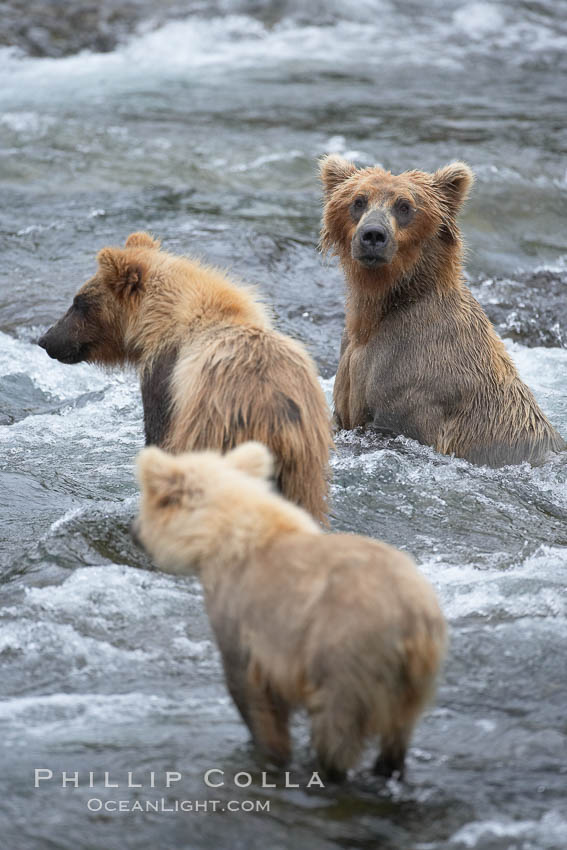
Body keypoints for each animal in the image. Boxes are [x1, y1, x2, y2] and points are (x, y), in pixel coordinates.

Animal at [38, 234, 332, 524]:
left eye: (79, 302)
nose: (46, 339)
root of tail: (274, 417)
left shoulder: (166, 379)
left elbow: (157, 434)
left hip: (216, 429)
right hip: (304, 463)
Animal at [133, 440, 448, 780]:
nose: (134, 532)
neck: (225, 532)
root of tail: (416, 623)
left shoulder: (246, 614)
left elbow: (248, 688)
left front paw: (269, 749)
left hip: (348, 651)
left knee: (337, 726)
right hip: (412, 681)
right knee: (398, 732)